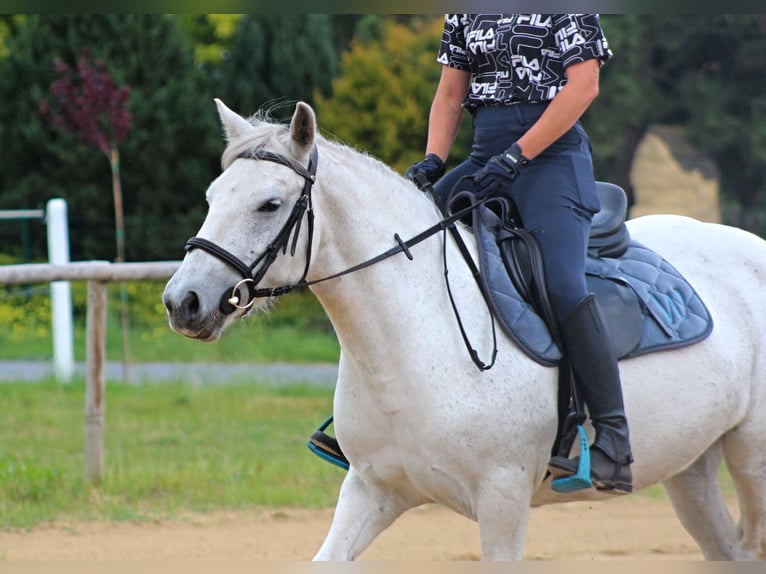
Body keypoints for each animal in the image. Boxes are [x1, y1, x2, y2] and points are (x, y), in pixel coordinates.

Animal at [164, 100, 766, 564]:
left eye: (269, 204)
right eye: (212, 198)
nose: (182, 302)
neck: (408, 346)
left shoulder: (503, 502)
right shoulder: (370, 490)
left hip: (751, 460)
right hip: (691, 468)